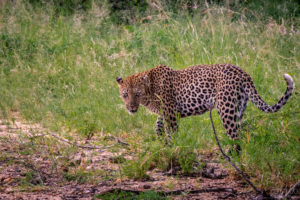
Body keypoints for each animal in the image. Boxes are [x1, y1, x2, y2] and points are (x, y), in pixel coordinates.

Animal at [116, 63, 294, 141]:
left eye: (137, 94)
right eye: (125, 94)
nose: (131, 107)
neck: (150, 88)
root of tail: (244, 73)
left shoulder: (170, 111)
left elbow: (171, 131)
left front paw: (171, 147)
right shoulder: (166, 112)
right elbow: (158, 125)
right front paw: (160, 140)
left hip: (226, 108)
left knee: (234, 136)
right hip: (239, 108)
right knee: (239, 132)